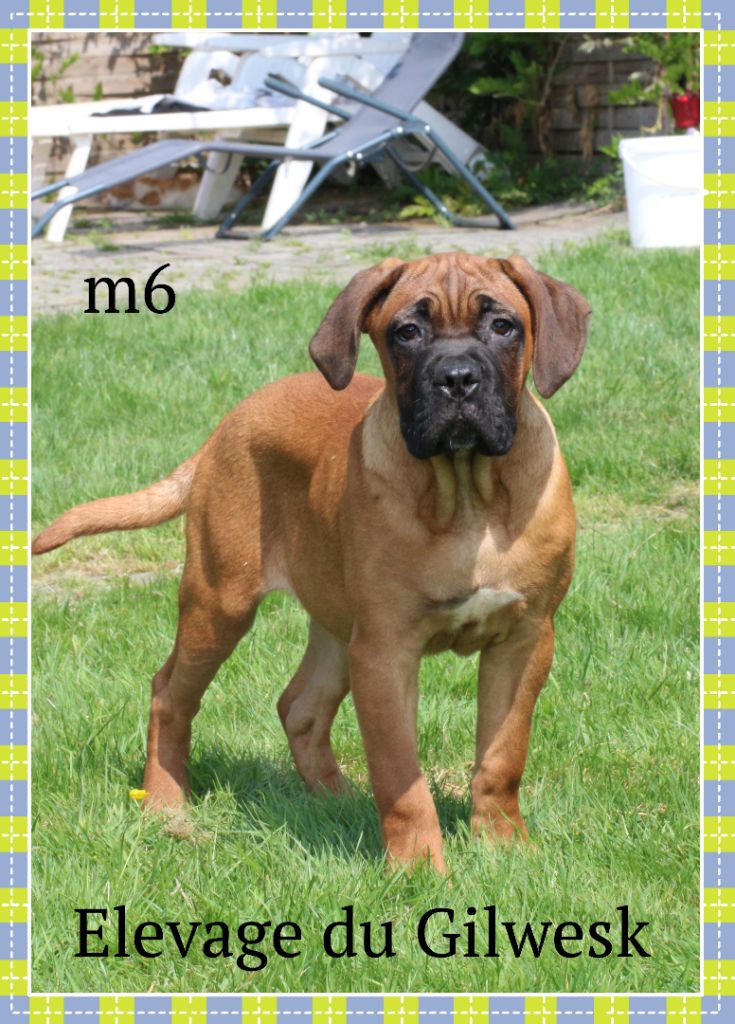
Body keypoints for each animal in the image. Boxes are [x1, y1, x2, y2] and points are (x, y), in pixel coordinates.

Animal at [33, 252, 591, 872]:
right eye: (407, 332)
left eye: (503, 327)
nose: (457, 379)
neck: (468, 493)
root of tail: (227, 425)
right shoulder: (386, 650)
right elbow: (401, 776)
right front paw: (419, 868)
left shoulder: (525, 639)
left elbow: (502, 756)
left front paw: (504, 847)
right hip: (220, 602)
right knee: (169, 693)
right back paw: (166, 805)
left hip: (337, 623)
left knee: (299, 705)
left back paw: (336, 799)